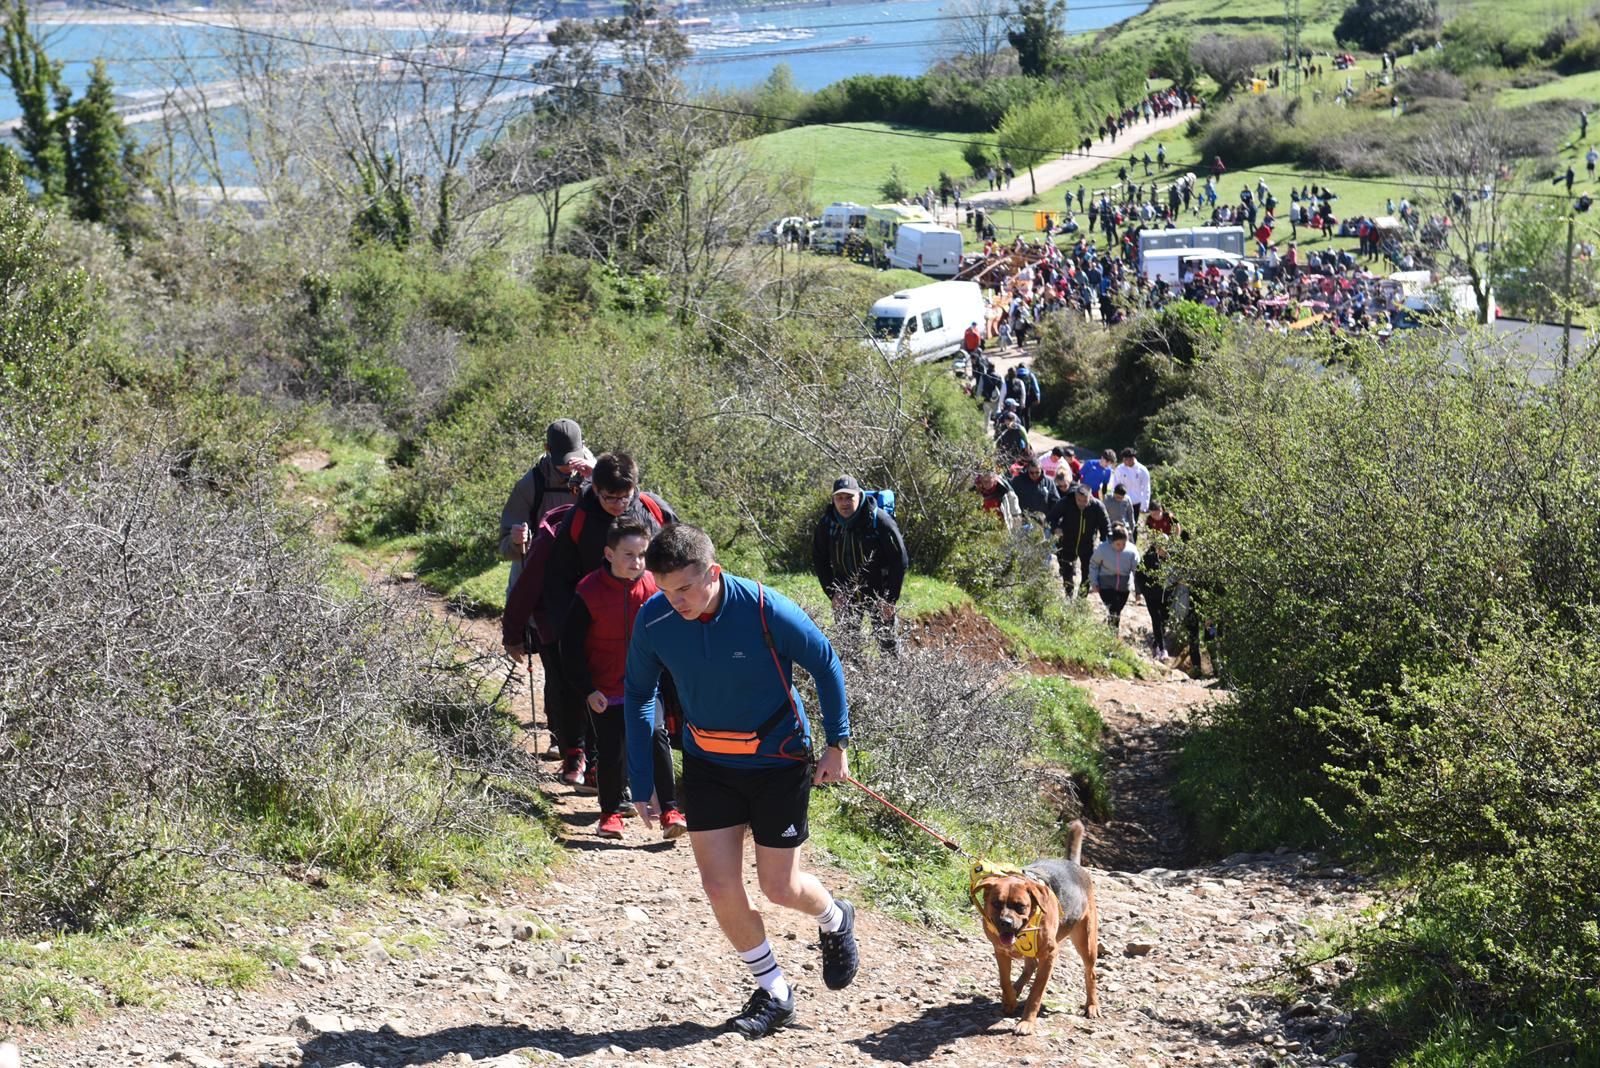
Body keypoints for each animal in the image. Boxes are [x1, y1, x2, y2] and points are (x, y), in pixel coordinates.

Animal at [966, 818, 1094, 1036]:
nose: (1006, 923)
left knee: (1090, 972)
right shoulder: (1000, 951)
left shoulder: (1049, 955)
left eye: (1020, 906)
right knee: (1029, 966)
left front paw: (1026, 1022)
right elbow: (1004, 981)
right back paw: (1016, 989)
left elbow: (1036, 994)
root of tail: (1073, 865)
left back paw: (1092, 1006)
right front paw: (1009, 1001)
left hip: (1086, 943)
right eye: (996, 903)